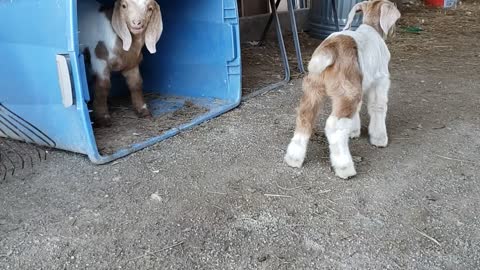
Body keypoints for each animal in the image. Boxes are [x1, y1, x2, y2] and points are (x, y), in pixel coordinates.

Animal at [284, 0, 402, 179]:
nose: (394, 32)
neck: (372, 28)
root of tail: (329, 50)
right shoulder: (380, 82)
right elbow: (378, 107)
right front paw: (379, 139)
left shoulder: (360, 85)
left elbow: (357, 111)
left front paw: (353, 132)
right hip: (348, 92)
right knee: (335, 127)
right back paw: (345, 168)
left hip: (315, 89)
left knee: (305, 117)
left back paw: (293, 158)